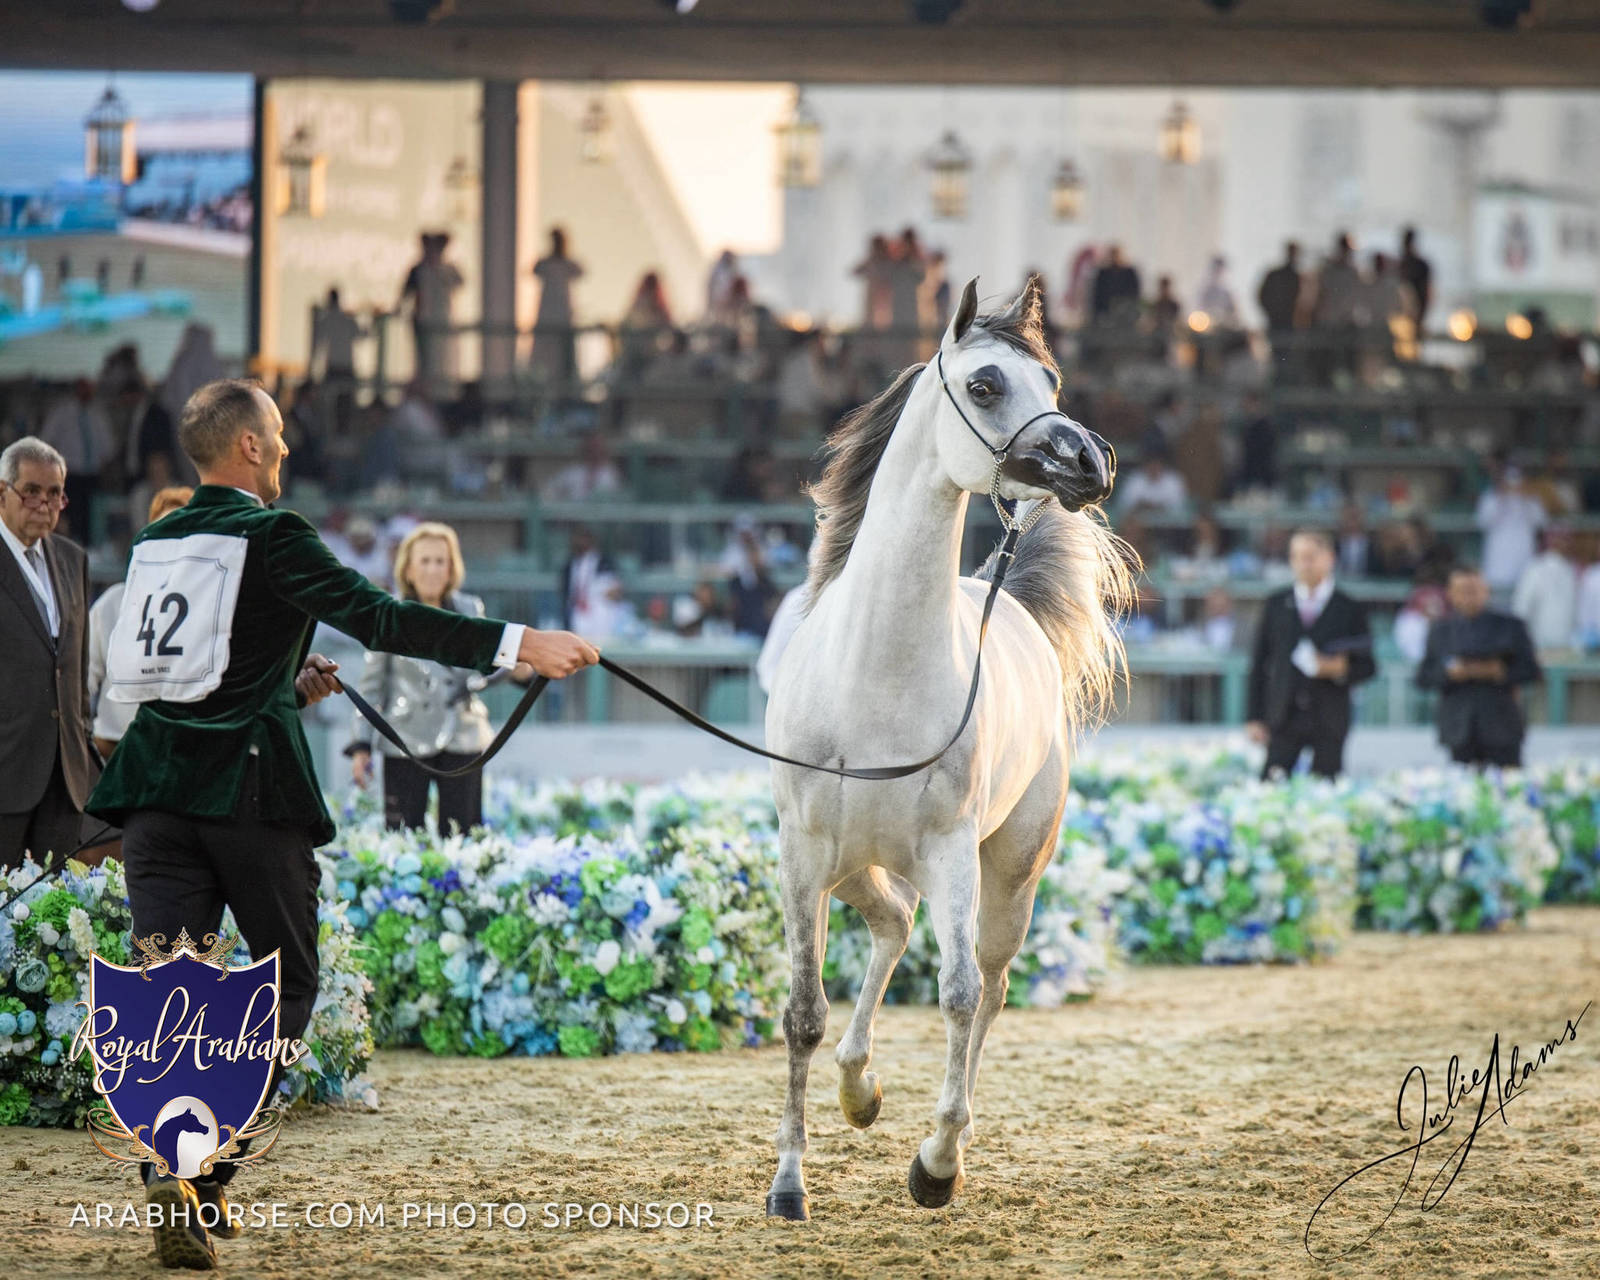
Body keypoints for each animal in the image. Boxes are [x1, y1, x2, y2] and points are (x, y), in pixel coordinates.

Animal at [762, 276, 1133, 1220]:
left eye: (1051, 377)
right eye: (986, 384)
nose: (1091, 463)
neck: (877, 672)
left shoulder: (952, 851)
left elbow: (959, 996)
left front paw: (935, 1164)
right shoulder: (803, 853)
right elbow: (803, 1013)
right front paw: (789, 1186)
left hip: (1007, 872)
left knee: (989, 986)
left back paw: (937, 1132)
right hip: (855, 863)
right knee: (893, 924)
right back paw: (859, 1090)